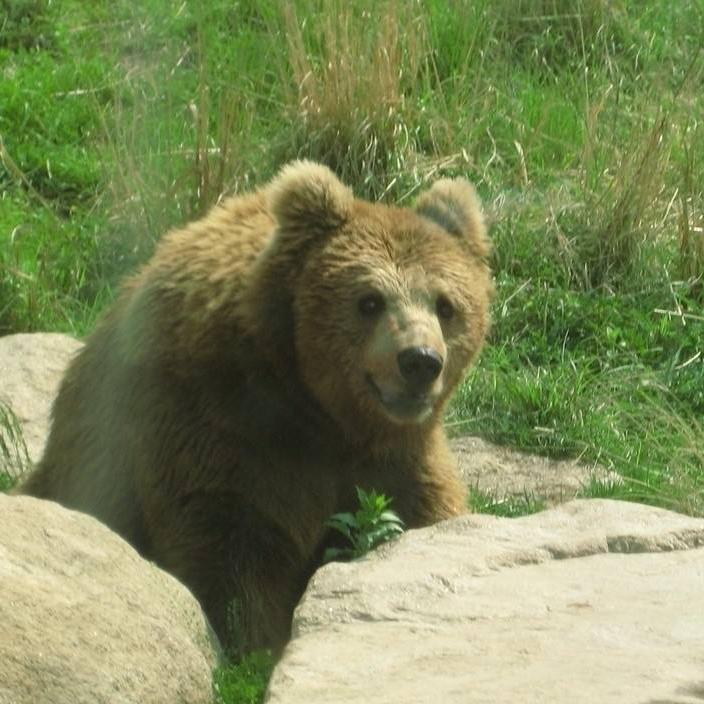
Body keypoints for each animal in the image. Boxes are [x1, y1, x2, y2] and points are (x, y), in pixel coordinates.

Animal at [20, 162, 496, 656]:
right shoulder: (222, 426)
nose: (420, 361)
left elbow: (424, 511)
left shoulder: (396, 453)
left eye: (446, 305)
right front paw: (255, 645)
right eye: (369, 301)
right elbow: (235, 546)